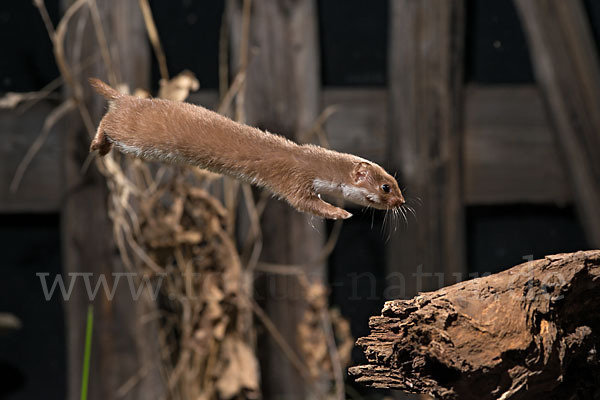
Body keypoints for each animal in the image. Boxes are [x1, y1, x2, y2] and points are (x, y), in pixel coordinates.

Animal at [89, 78, 406, 220]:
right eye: (386, 187)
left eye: (396, 182)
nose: (402, 202)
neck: (306, 155)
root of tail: (128, 98)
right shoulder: (294, 179)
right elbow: (303, 203)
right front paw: (340, 213)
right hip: (130, 134)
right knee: (106, 121)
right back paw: (97, 144)